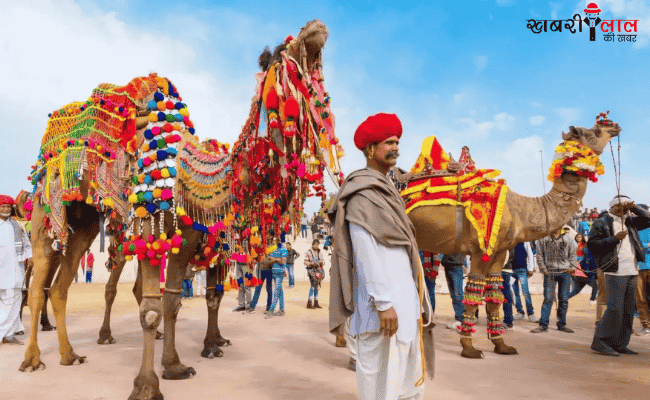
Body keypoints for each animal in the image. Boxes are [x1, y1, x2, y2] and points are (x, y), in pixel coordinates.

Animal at [400, 112, 616, 360]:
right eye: (594, 132)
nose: (613, 126)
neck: (521, 210)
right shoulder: (480, 251)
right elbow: (473, 295)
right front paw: (469, 348)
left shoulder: (500, 252)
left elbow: (494, 296)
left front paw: (501, 345)